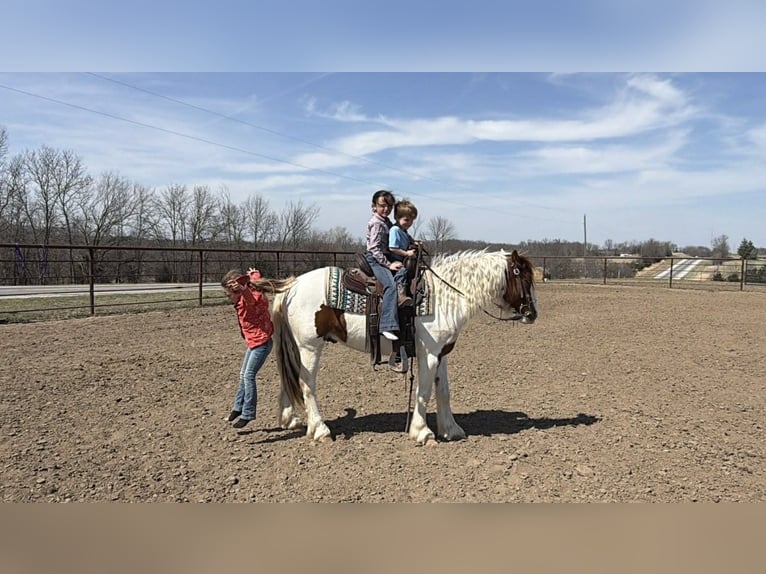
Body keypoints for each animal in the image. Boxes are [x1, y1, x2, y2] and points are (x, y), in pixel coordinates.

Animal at [270, 249, 538, 445]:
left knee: (288, 377)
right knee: (307, 384)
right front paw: (422, 432)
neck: (443, 297)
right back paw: (320, 430)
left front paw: (451, 429)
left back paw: (291, 419)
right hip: (309, 347)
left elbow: (443, 391)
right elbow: (424, 391)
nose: (532, 314)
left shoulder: (442, 354)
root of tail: (292, 286)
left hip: (297, 347)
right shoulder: (428, 354)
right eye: (523, 277)